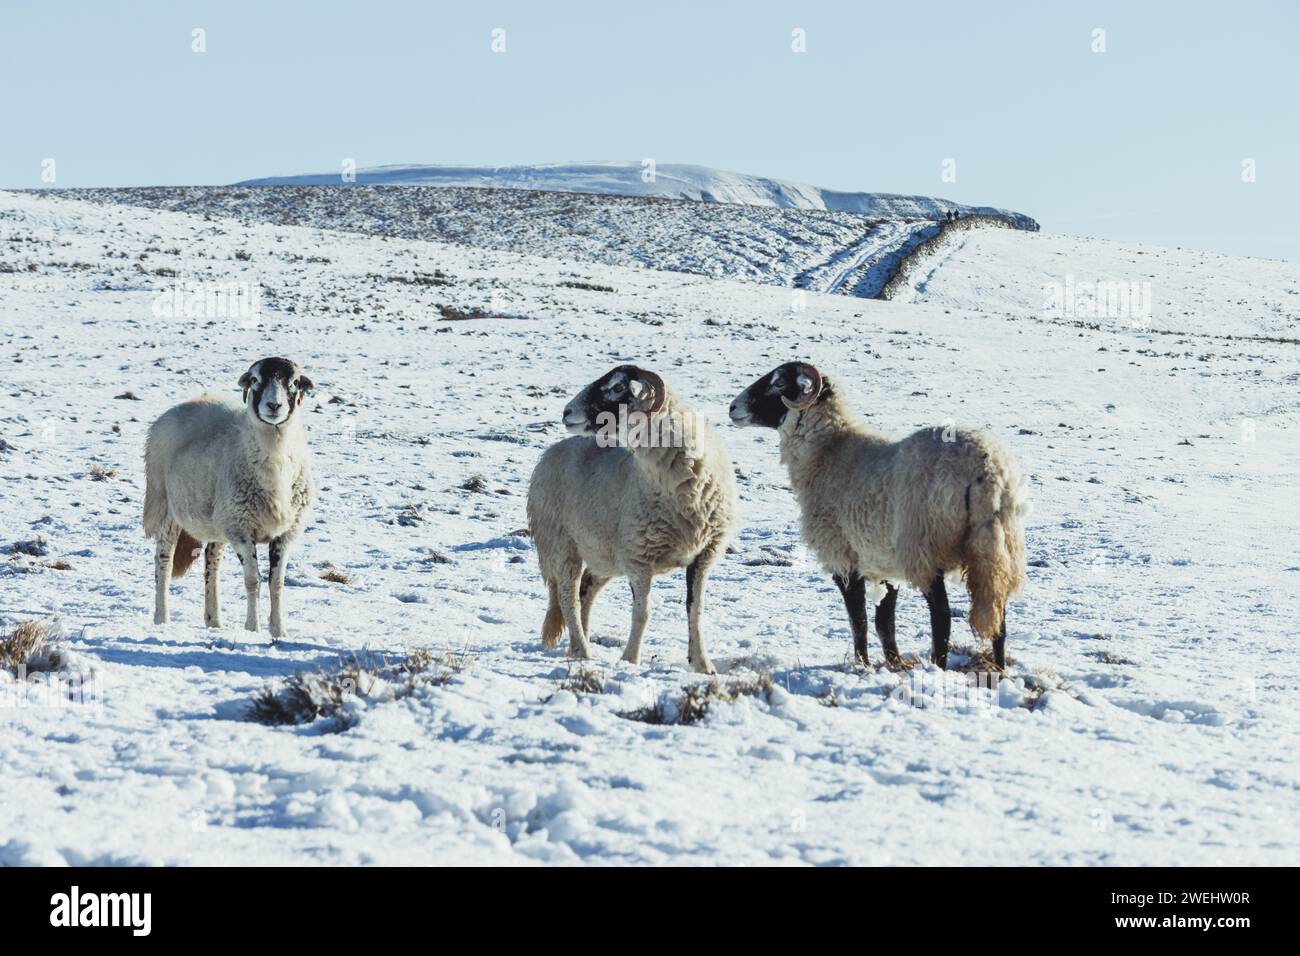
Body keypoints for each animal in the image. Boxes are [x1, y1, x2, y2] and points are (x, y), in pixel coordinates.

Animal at [143, 356, 315, 639]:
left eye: (294, 382)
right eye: (255, 379)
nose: (274, 406)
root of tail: (191, 401)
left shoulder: (285, 533)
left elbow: (277, 582)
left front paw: (279, 631)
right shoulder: (241, 529)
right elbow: (253, 580)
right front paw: (253, 628)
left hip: (218, 521)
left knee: (211, 560)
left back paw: (213, 620)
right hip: (165, 505)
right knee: (163, 561)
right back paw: (161, 618)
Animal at [525, 364, 733, 671]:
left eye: (617, 387)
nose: (566, 412)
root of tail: (553, 450)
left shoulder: (704, 555)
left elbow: (695, 611)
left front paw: (702, 665)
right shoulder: (639, 558)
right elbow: (642, 612)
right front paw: (630, 660)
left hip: (604, 553)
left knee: (586, 590)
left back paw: (576, 648)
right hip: (561, 544)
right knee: (568, 597)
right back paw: (583, 650)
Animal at [733, 361, 1024, 671]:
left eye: (778, 383)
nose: (732, 407)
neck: (827, 452)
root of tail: (986, 467)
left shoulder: (844, 555)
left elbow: (858, 620)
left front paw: (861, 665)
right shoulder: (883, 561)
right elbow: (885, 623)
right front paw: (893, 663)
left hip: (925, 546)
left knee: (942, 616)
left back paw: (938, 666)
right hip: (996, 547)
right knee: (999, 616)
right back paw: (999, 669)